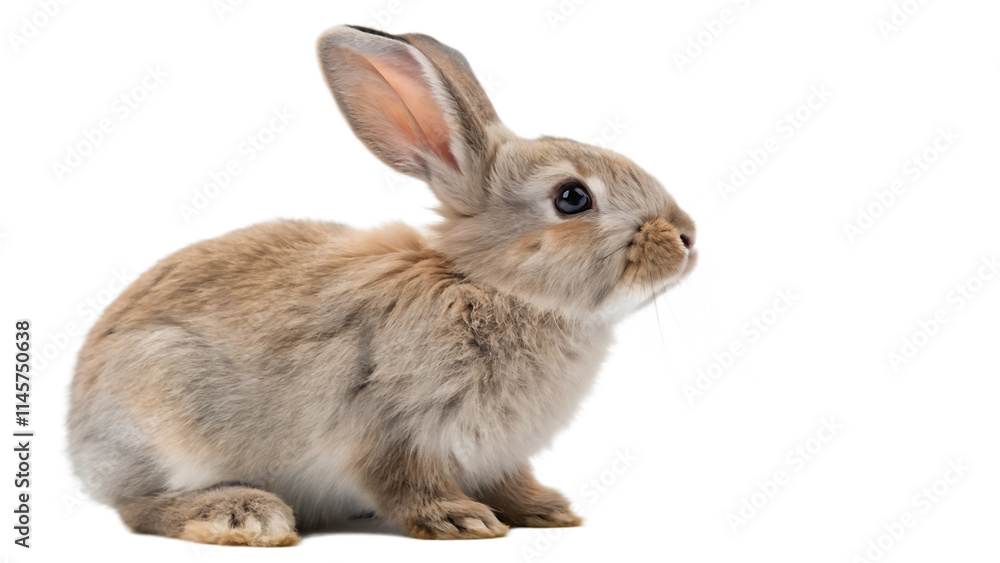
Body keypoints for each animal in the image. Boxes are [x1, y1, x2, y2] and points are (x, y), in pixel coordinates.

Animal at [67, 25, 697, 547]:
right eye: (572, 197)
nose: (688, 237)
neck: (490, 287)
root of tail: (78, 440)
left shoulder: (497, 454)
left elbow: (509, 482)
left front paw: (546, 510)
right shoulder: (389, 425)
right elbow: (405, 482)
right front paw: (460, 520)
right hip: (161, 409)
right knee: (138, 507)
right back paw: (242, 515)